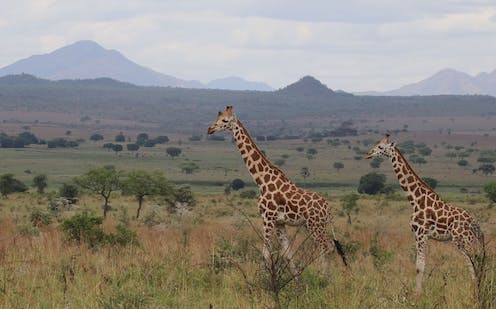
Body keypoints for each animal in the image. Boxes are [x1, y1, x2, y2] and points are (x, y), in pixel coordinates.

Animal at [207, 106, 346, 272]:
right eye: (217, 118)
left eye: (224, 120)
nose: (210, 129)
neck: (262, 181)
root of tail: (328, 208)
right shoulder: (280, 223)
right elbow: (288, 254)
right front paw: (296, 278)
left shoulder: (268, 218)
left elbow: (265, 253)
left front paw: (261, 278)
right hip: (315, 225)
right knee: (329, 246)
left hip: (315, 225)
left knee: (326, 246)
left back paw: (324, 275)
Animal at [364, 134, 484, 296]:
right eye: (376, 144)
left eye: (381, 147)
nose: (368, 154)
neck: (415, 200)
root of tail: (475, 224)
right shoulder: (419, 234)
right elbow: (420, 265)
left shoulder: (421, 233)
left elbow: (419, 266)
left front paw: (417, 296)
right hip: (467, 241)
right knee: (474, 264)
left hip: (463, 240)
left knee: (474, 264)